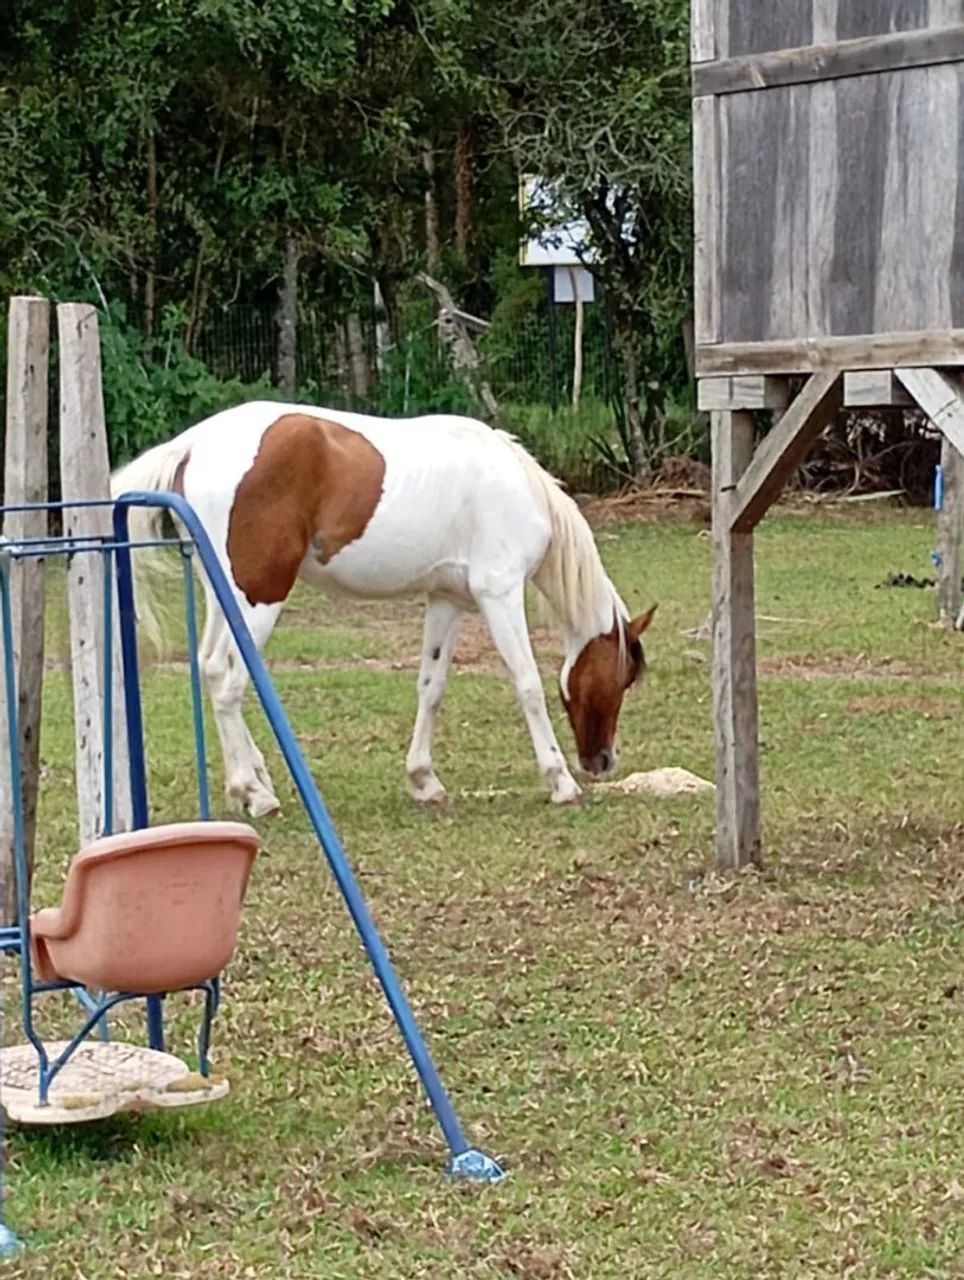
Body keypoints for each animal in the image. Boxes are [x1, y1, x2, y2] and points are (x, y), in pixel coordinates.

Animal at [111, 402, 656, 816]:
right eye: (623, 677)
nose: (603, 760)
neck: (512, 484)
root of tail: (195, 443)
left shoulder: (447, 600)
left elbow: (431, 686)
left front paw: (424, 780)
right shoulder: (498, 593)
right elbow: (527, 684)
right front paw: (560, 781)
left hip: (225, 595)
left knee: (208, 668)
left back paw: (253, 782)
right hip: (259, 597)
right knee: (228, 679)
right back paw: (256, 794)